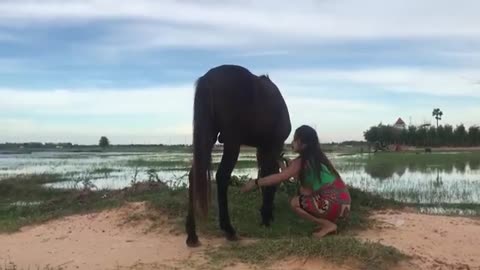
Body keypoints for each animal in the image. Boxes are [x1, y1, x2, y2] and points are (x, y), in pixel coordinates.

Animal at [186, 63, 290, 247]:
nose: (270, 214)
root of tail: (209, 78)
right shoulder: (273, 145)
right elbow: (270, 176)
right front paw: (266, 217)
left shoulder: (262, 149)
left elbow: (263, 177)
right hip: (232, 142)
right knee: (222, 176)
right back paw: (229, 230)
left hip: (208, 136)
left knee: (194, 175)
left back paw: (192, 234)